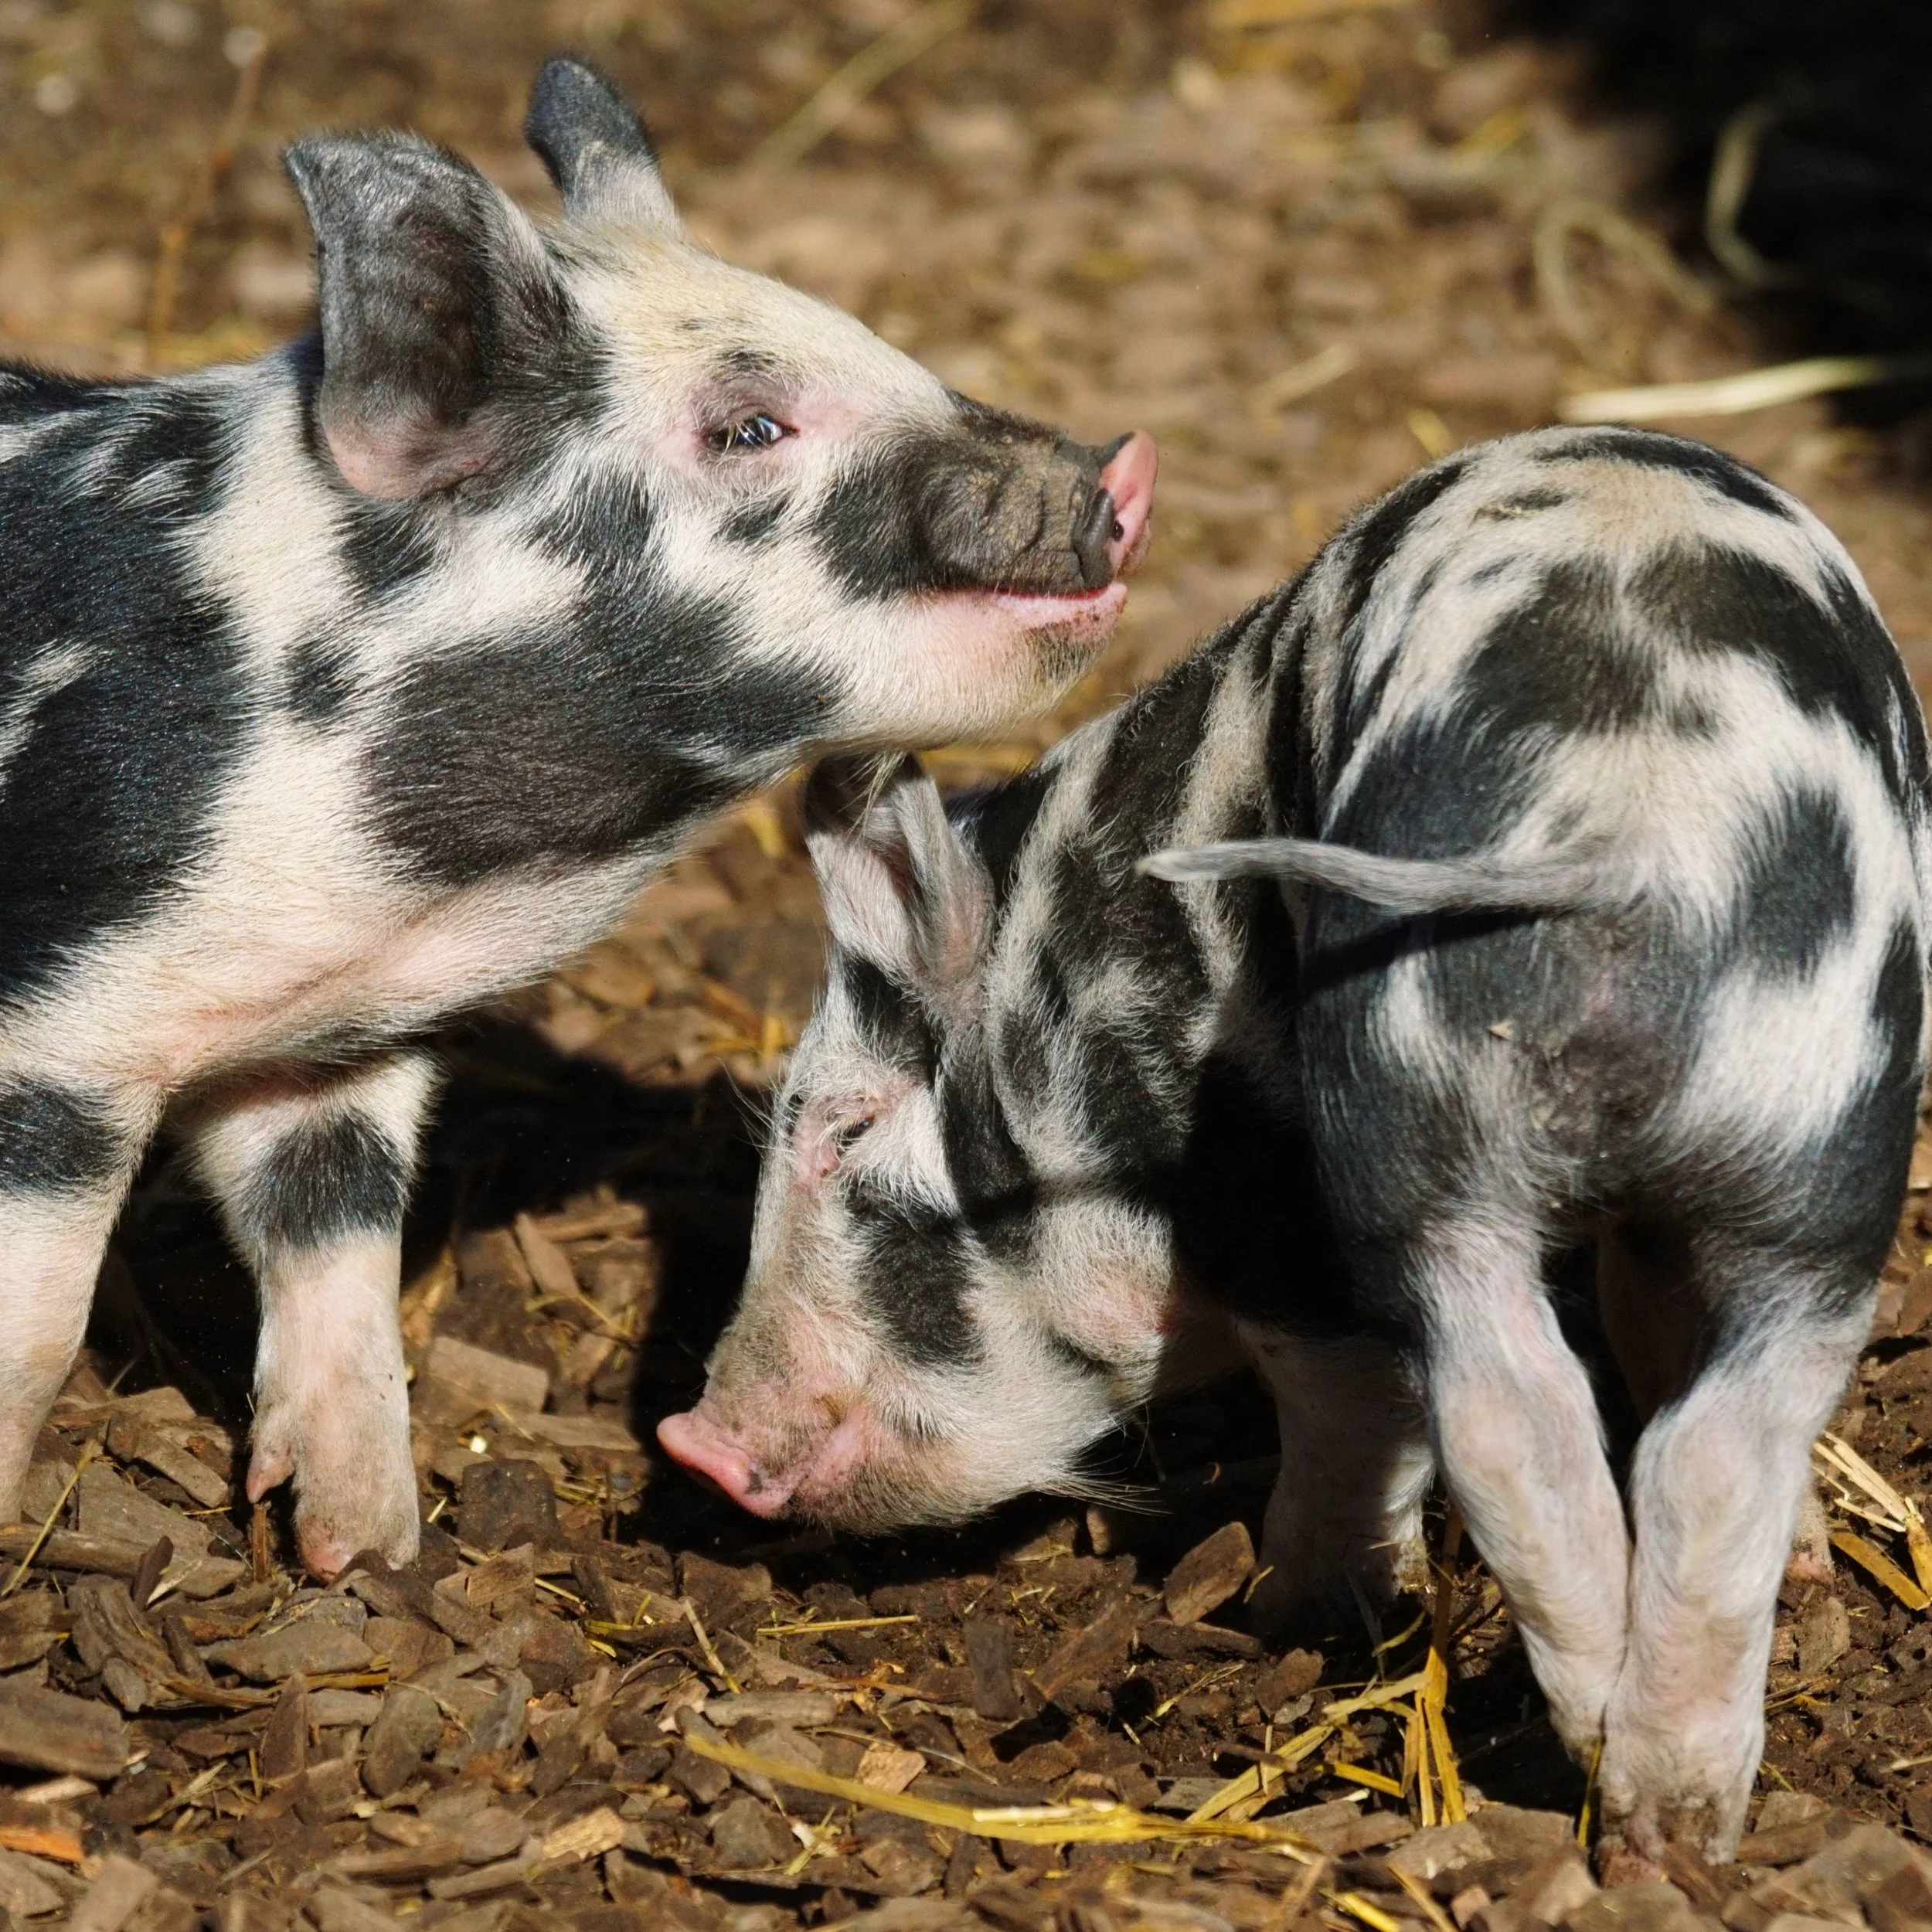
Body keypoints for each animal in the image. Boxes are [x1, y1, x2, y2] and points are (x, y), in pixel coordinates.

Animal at [0, 55, 1156, 1578]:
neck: (415, 888)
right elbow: (33, 1333)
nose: (1119, 470)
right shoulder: (54, 1038)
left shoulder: (330, 1049)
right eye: (748, 428)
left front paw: (367, 1552)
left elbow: (336, 1253)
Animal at [660, 426, 1927, 1875]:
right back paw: (1669, 1820)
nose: (691, 1439)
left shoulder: (1269, 1212)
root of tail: (1630, 829)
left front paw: (1294, 1613)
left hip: (1427, 1123)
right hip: (1810, 1142)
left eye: (847, 1128)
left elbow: (1349, 1395)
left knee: (1507, 1418)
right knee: (1694, 1441)